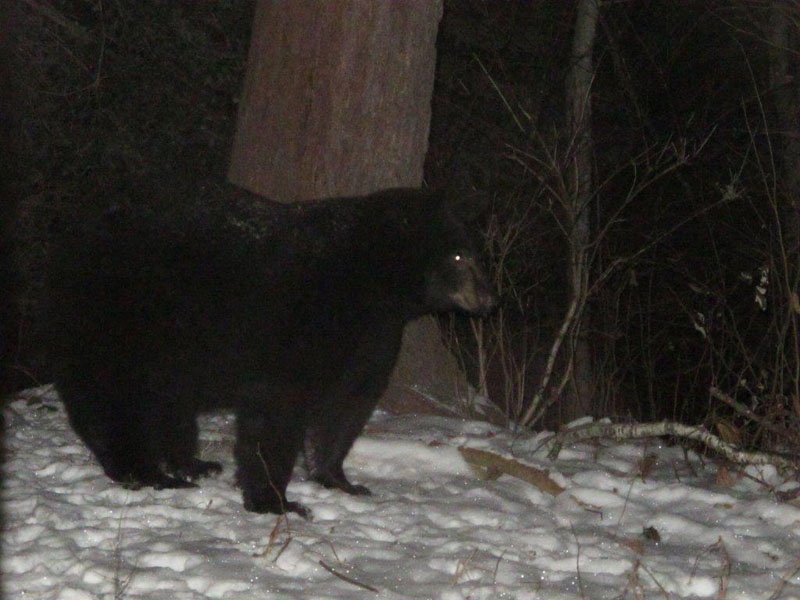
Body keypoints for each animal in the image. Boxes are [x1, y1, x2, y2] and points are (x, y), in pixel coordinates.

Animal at [46, 178, 496, 516]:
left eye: (478, 254)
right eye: (459, 256)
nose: (491, 299)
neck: (371, 283)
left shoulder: (371, 337)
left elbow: (346, 406)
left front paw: (339, 480)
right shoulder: (297, 329)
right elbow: (277, 412)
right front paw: (276, 501)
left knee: (167, 402)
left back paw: (193, 463)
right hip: (125, 320)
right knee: (115, 400)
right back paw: (147, 473)